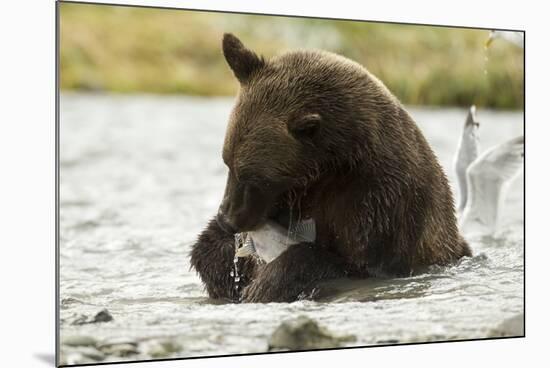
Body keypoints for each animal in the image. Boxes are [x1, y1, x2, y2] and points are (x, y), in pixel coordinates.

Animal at [192, 33, 472, 304]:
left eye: (257, 178)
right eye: (228, 162)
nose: (227, 218)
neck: (331, 166)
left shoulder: (380, 205)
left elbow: (353, 264)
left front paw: (265, 285)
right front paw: (223, 256)